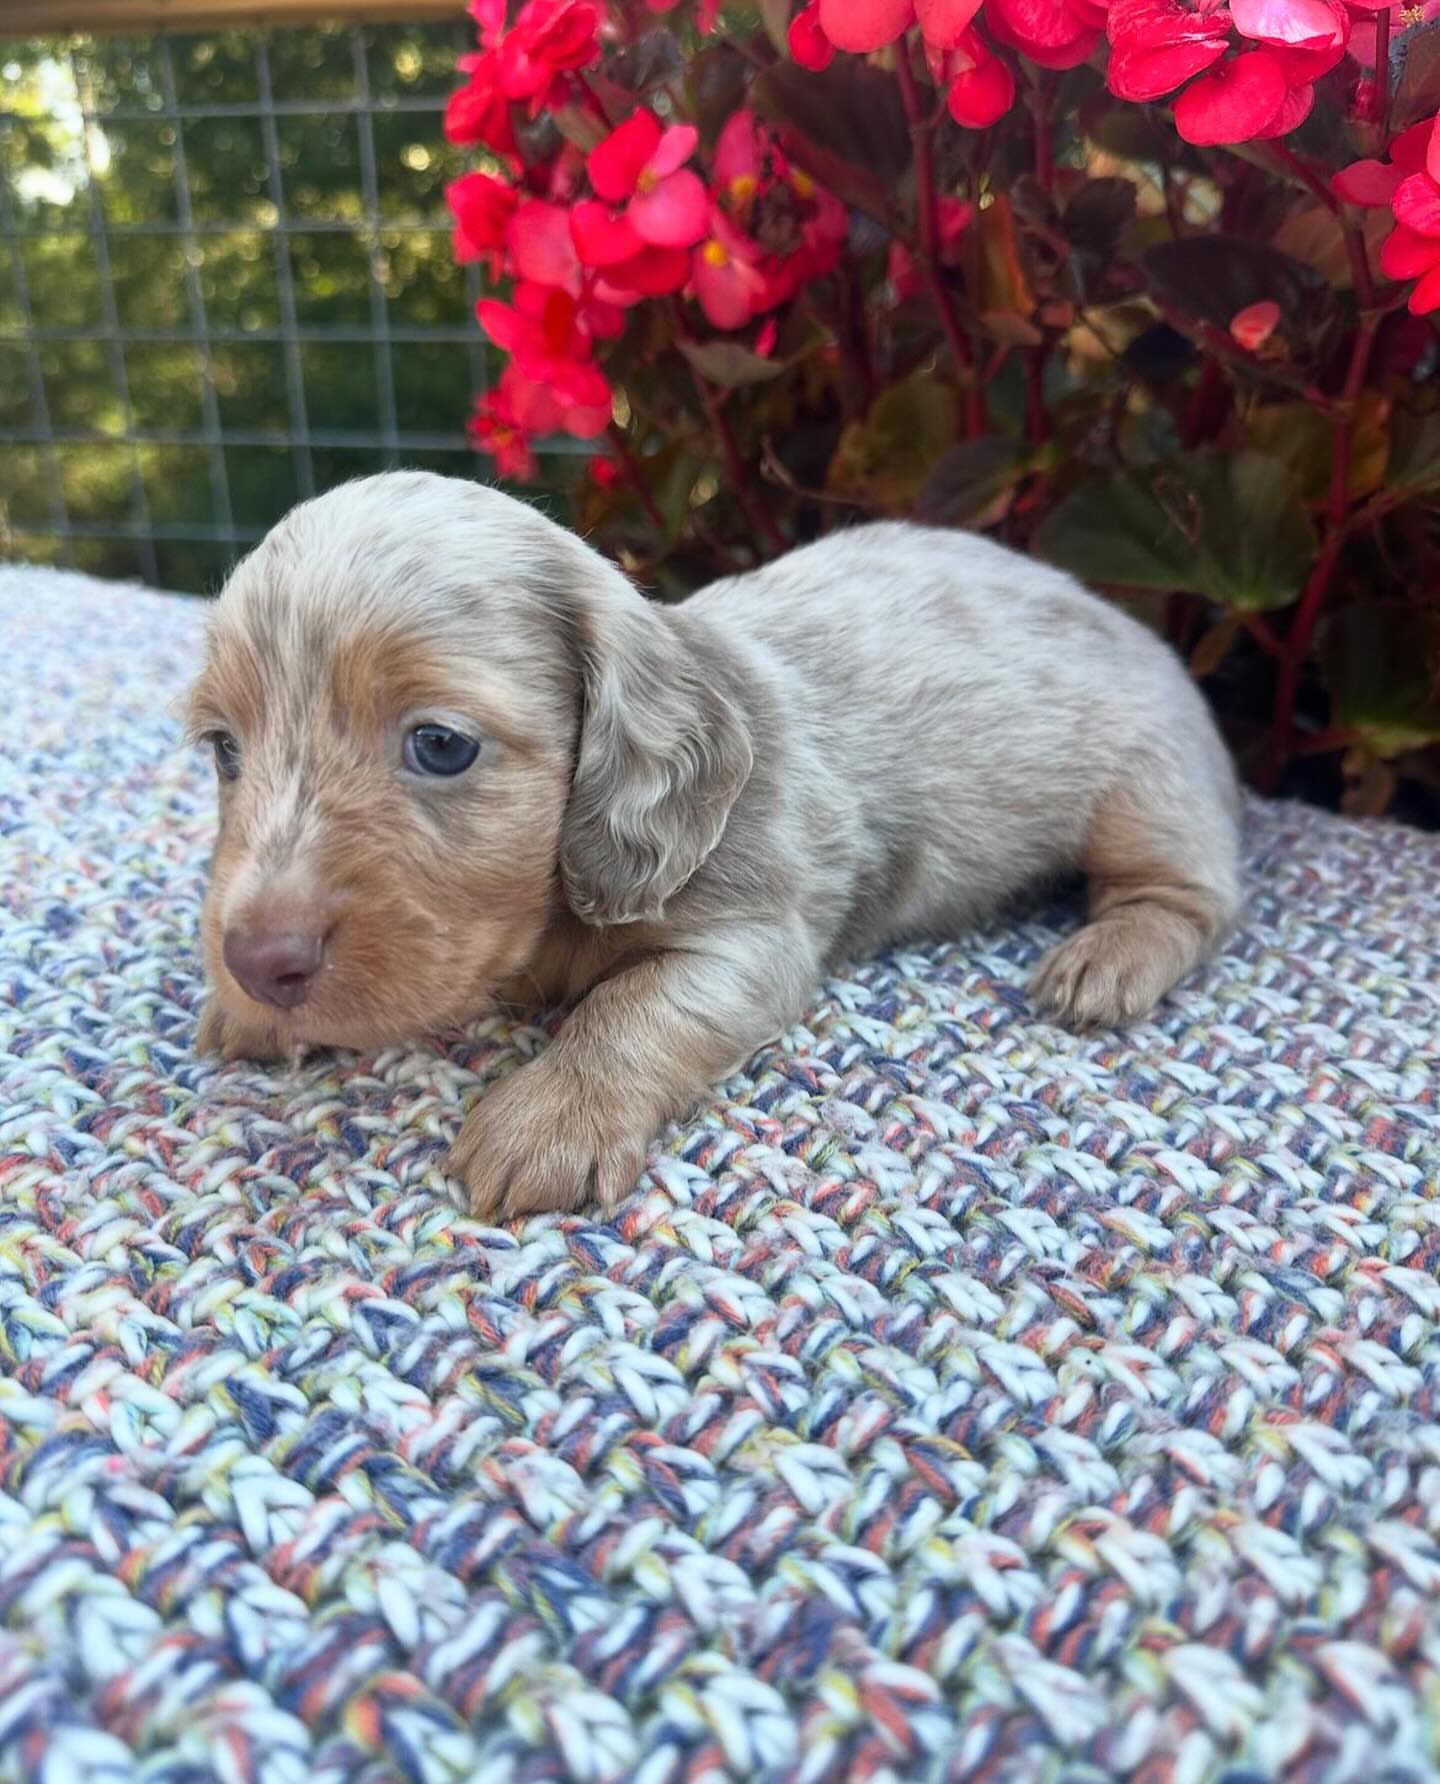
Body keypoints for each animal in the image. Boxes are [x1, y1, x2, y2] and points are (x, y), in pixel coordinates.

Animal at [185, 474, 1241, 1220]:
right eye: (224, 749)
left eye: (441, 744)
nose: (256, 960)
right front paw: (249, 1010)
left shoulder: (752, 931)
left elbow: (631, 1006)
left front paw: (549, 1115)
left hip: (1148, 783)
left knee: (1189, 896)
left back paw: (1109, 957)